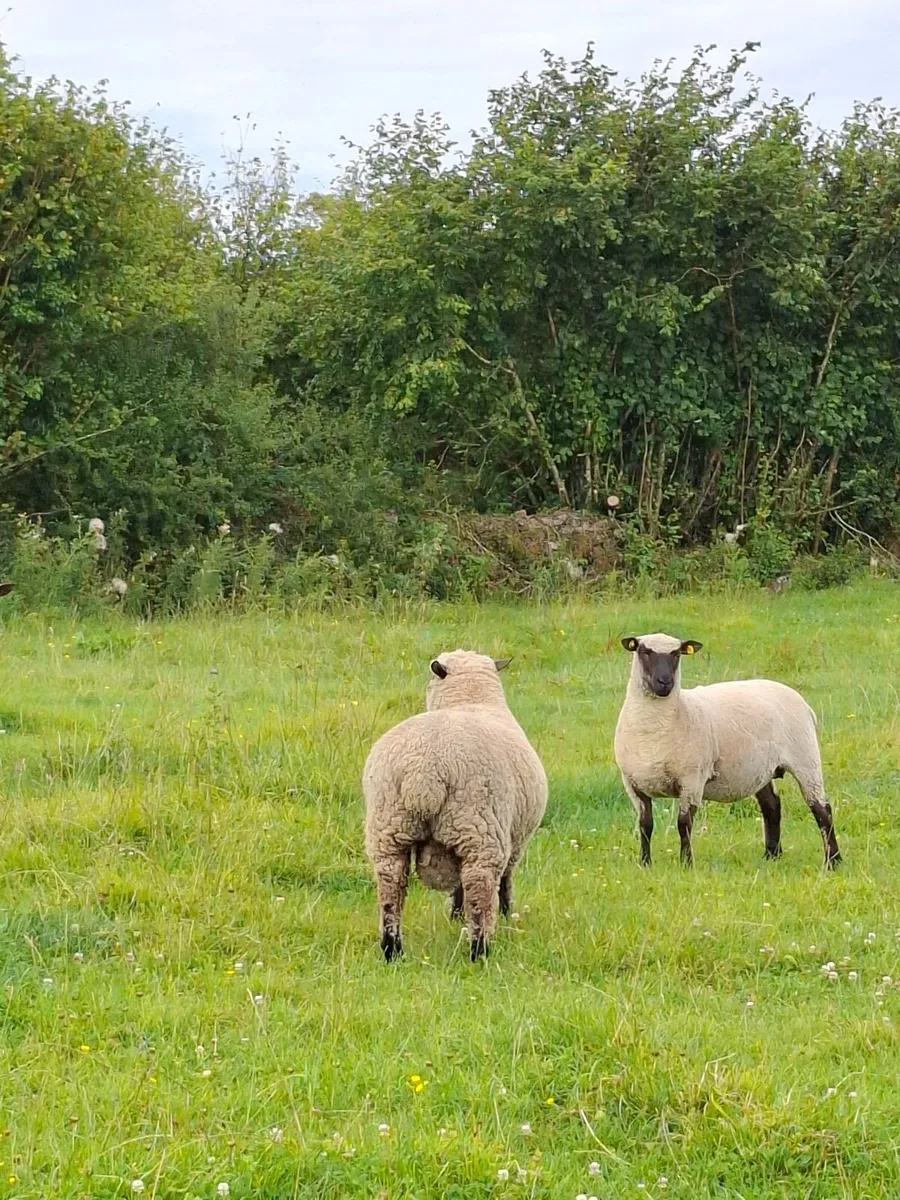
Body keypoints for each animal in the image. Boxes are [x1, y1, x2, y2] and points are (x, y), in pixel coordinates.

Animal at [363, 649, 548, 962]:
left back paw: (392, 949)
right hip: (479, 829)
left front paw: (455, 914)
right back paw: (479, 949)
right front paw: (505, 913)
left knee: (391, 889)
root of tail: (424, 770)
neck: (470, 701)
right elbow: (505, 881)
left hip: (389, 828)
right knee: (479, 889)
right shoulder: (515, 839)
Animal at [613, 633, 840, 869]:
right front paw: (644, 863)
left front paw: (686, 864)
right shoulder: (632, 784)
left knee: (822, 809)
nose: (665, 682)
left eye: (676, 654)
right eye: (644, 651)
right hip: (760, 769)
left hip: (805, 758)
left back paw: (833, 861)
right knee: (771, 806)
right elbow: (645, 825)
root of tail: (800, 700)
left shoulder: (692, 780)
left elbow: (683, 824)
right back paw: (771, 855)